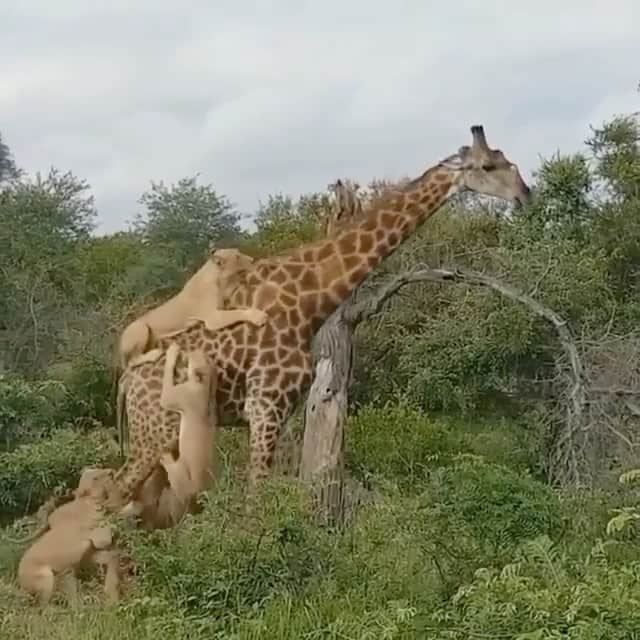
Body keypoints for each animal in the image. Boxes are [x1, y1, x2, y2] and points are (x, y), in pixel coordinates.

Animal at [117, 247, 267, 369]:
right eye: (237, 256)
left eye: (238, 253)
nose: (253, 259)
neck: (218, 277)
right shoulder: (213, 318)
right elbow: (236, 312)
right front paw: (258, 316)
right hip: (139, 327)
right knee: (132, 361)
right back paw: (155, 354)